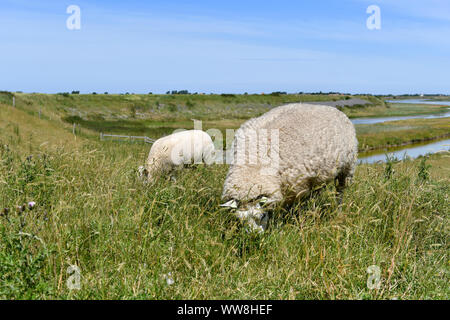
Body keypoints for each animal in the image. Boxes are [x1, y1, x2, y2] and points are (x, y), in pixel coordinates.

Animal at [220, 104, 356, 231]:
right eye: (240, 220)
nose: (254, 236)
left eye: (262, 216)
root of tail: (334, 108)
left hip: (347, 168)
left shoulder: (298, 185)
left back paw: (338, 211)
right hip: (318, 175)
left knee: (340, 191)